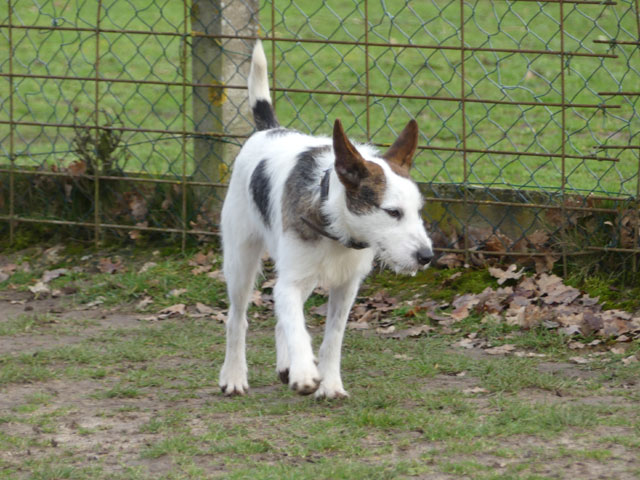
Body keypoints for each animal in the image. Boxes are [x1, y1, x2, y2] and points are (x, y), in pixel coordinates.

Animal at [218, 41, 432, 400]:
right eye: (392, 212)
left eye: (418, 210)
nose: (427, 256)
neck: (335, 227)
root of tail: (270, 130)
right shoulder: (290, 282)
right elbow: (297, 327)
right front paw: (306, 372)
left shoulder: (346, 287)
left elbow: (332, 337)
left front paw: (329, 383)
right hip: (240, 261)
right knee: (238, 318)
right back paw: (234, 375)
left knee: (278, 314)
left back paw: (285, 365)